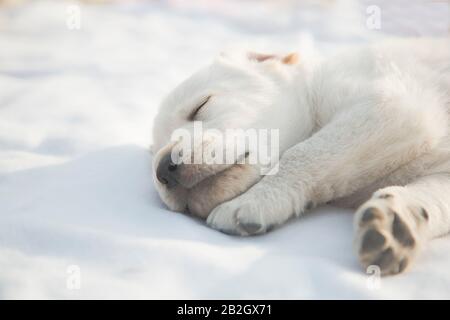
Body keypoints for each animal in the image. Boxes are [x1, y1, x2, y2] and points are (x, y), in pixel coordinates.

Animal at [152, 37, 450, 276]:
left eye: (200, 106)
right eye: (154, 151)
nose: (164, 168)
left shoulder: (391, 101)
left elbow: (304, 152)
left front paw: (252, 202)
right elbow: (434, 196)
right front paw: (397, 221)